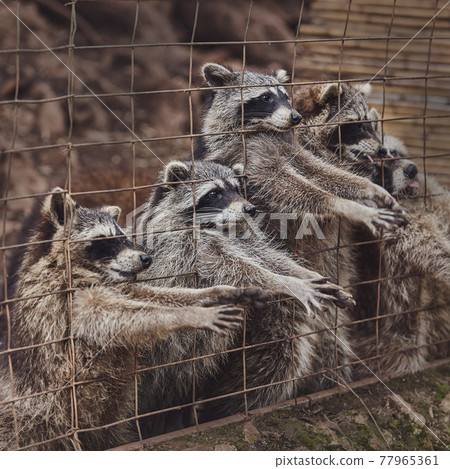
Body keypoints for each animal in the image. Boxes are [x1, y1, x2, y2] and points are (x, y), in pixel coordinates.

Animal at [0, 189, 260, 450]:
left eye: (124, 237)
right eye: (105, 239)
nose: (146, 258)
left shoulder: (115, 288)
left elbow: (150, 297)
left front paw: (208, 295)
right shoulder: (64, 303)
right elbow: (113, 318)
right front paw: (190, 314)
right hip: (36, 418)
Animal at [135, 159, 354, 430]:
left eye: (238, 189)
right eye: (214, 193)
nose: (250, 208)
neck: (216, 226)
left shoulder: (240, 237)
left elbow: (268, 257)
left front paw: (302, 275)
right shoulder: (184, 245)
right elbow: (238, 270)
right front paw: (290, 283)